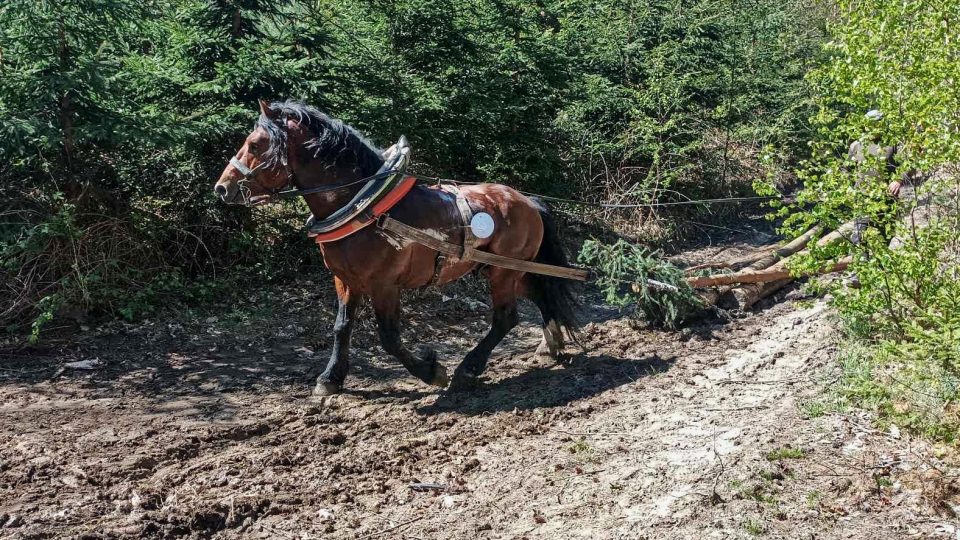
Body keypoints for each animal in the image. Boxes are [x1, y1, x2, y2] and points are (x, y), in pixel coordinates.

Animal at [215, 101, 580, 394]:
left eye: (255, 144)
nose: (222, 188)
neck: (363, 206)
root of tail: (529, 201)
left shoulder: (384, 285)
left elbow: (389, 338)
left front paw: (432, 371)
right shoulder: (345, 280)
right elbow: (341, 328)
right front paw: (330, 378)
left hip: (503, 271)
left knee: (506, 317)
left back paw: (468, 368)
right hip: (508, 268)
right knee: (540, 295)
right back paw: (550, 346)